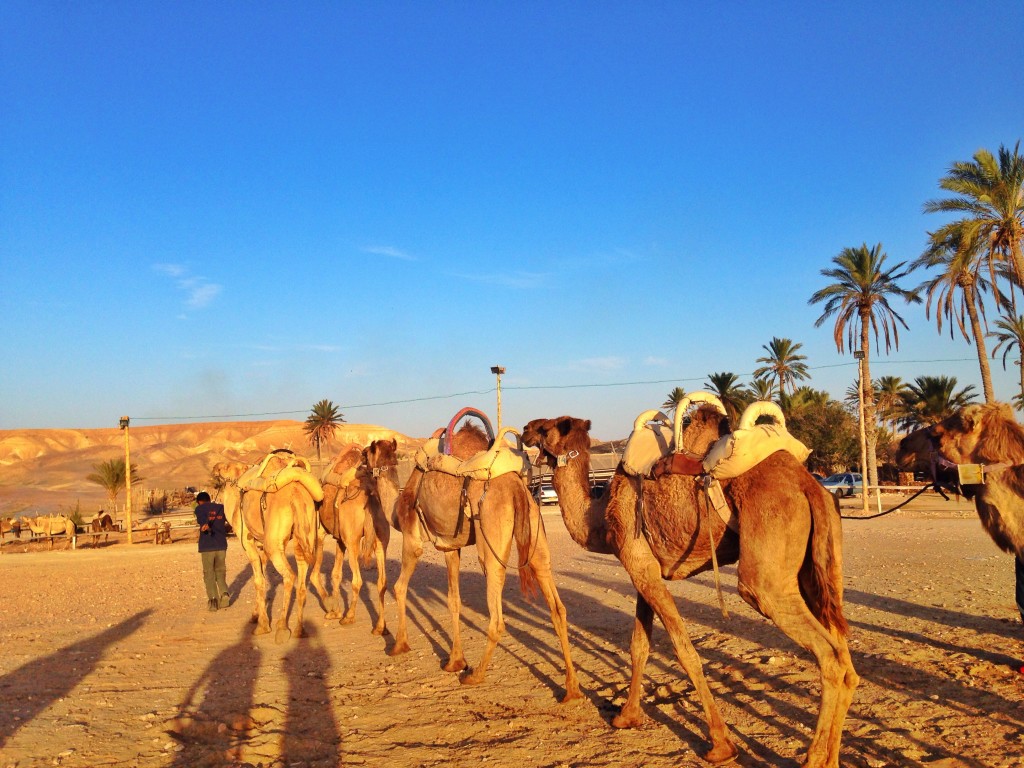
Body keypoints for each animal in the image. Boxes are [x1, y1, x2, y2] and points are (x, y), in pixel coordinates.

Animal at [211, 450, 327, 643]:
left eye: (224, 467)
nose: (213, 470)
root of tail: (296, 494)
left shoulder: (248, 542)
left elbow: (258, 580)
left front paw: (262, 625)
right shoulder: (262, 546)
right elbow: (263, 575)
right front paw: (255, 615)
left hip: (274, 542)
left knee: (289, 575)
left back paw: (282, 628)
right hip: (304, 533)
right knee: (302, 579)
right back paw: (299, 629)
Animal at [311, 442, 399, 634]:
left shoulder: (322, 532)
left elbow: (317, 574)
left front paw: (331, 608)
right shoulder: (340, 538)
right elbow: (336, 574)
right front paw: (335, 609)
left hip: (352, 542)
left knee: (357, 580)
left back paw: (348, 617)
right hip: (380, 541)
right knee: (382, 581)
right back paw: (380, 626)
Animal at [387, 415, 581, 704]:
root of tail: (515, 486)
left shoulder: (412, 537)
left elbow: (400, 587)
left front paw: (399, 645)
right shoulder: (450, 545)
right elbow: (453, 600)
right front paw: (455, 661)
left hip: (490, 539)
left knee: (497, 613)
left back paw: (475, 675)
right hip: (536, 532)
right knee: (556, 604)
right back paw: (572, 689)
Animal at [524, 403, 860, 768]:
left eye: (547, 428)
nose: (525, 428)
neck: (600, 516)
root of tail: (808, 486)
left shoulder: (638, 562)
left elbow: (685, 652)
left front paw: (721, 745)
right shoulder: (644, 568)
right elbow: (639, 645)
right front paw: (626, 716)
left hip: (766, 570)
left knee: (828, 654)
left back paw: (814, 758)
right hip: (819, 565)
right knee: (843, 651)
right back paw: (831, 756)